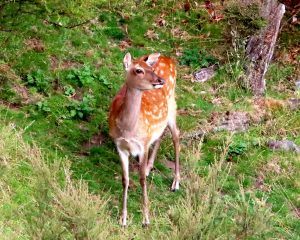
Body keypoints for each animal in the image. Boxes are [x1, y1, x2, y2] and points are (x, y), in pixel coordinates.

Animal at [110, 52, 180, 227]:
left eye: (151, 69)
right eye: (138, 70)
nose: (160, 80)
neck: (128, 129)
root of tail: (168, 58)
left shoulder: (142, 144)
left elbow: (141, 180)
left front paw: (146, 219)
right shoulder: (120, 145)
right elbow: (125, 179)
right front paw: (123, 219)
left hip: (172, 107)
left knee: (176, 135)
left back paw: (176, 182)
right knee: (161, 134)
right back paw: (149, 167)